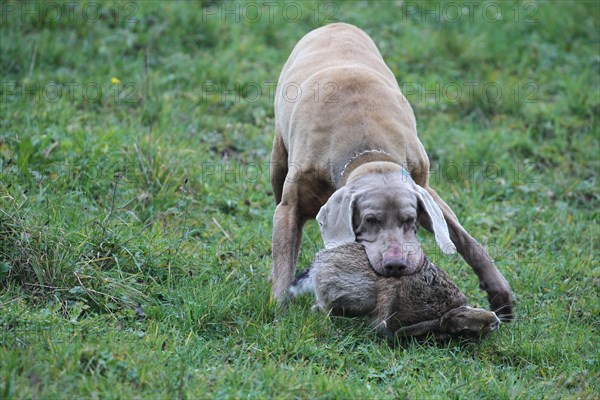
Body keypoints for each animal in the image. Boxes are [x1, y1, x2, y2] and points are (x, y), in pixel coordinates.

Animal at [270, 22, 512, 322]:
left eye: (410, 220)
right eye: (371, 220)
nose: (396, 265)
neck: (370, 156)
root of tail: (335, 24)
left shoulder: (425, 187)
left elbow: (466, 240)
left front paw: (499, 292)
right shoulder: (290, 206)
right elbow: (284, 258)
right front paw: (279, 309)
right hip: (278, 160)